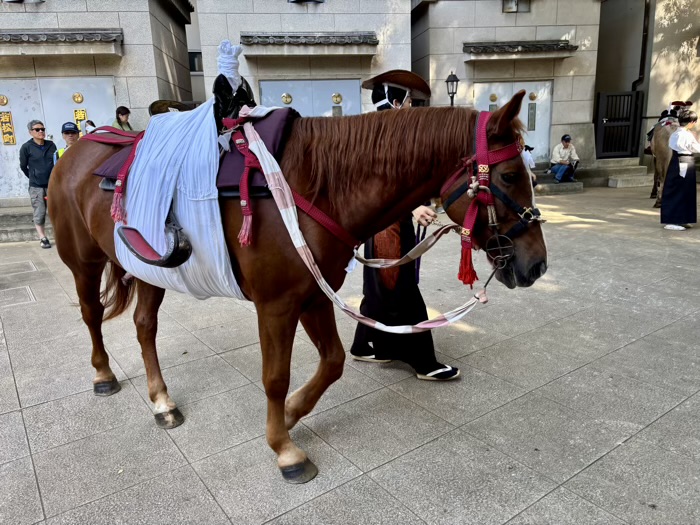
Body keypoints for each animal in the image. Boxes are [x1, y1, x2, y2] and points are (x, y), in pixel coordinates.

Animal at [48, 90, 547, 483]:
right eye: (508, 176)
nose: (537, 264)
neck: (312, 185)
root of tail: (77, 152)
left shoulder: (312, 294)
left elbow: (333, 362)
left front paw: (289, 414)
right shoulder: (276, 304)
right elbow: (275, 377)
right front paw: (284, 447)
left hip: (151, 269)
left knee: (144, 325)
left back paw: (161, 401)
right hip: (84, 262)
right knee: (92, 314)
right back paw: (103, 374)